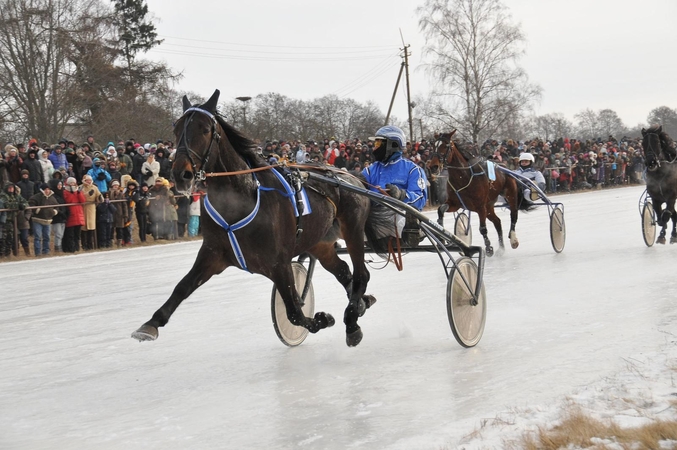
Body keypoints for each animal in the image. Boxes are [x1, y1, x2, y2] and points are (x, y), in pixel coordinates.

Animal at [132, 89, 374, 346]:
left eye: (204, 129)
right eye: (177, 130)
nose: (181, 174)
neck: (240, 200)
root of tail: (351, 176)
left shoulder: (279, 263)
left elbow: (294, 312)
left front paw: (323, 319)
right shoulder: (212, 253)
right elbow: (182, 287)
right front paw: (150, 324)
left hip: (353, 230)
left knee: (361, 274)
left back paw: (352, 321)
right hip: (320, 242)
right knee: (344, 271)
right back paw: (360, 305)